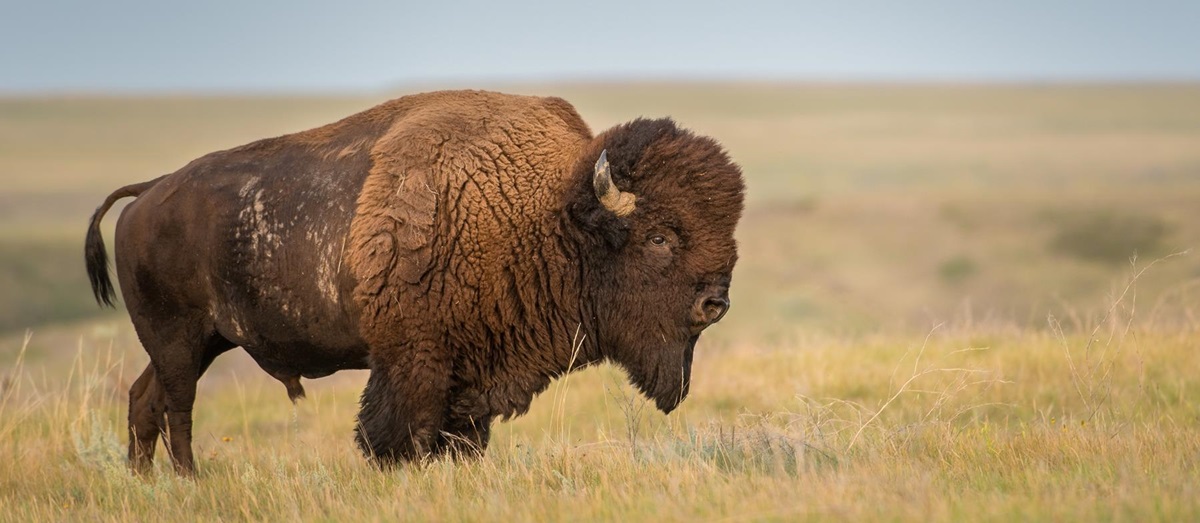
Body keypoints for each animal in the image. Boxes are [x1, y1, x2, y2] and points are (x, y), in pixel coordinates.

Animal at [85, 90, 745, 474]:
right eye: (658, 238)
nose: (715, 302)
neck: (545, 212)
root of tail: (148, 193)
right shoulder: (414, 359)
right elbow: (401, 433)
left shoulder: (474, 370)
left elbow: (464, 437)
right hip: (178, 339)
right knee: (176, 407)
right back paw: (188, 479)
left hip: (200, 342)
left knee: (144, 400)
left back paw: (147, 483)